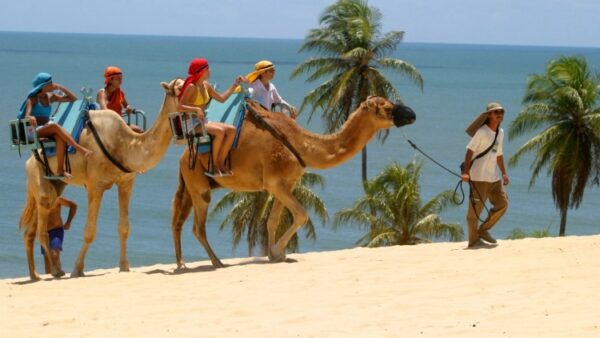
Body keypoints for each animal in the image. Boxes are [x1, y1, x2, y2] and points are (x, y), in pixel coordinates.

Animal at [19, 78, 183, 280]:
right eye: (180, 89)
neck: (123, 145)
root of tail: (29, 161)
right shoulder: (95, 186)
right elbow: (90, 231)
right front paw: (77, 270)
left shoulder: (126, 183)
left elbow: (124, 227)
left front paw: (125, 267)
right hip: (39, 178)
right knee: (42, 229)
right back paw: (56, 271)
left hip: (54, 184)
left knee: (30, 231)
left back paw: (35, 276)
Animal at [171, 96, 414, 268]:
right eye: (387, 107)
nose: (411, 114)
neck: (301, 144)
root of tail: (183, 156)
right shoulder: (275, 183)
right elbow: (302, 214)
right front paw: (279, 252)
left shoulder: (286, 184)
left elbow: (272, 221)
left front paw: (273, 255)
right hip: (198, 184)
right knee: (197, 227)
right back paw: (216, 262)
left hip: (192, 184)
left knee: (178, 221)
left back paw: (181, 263)